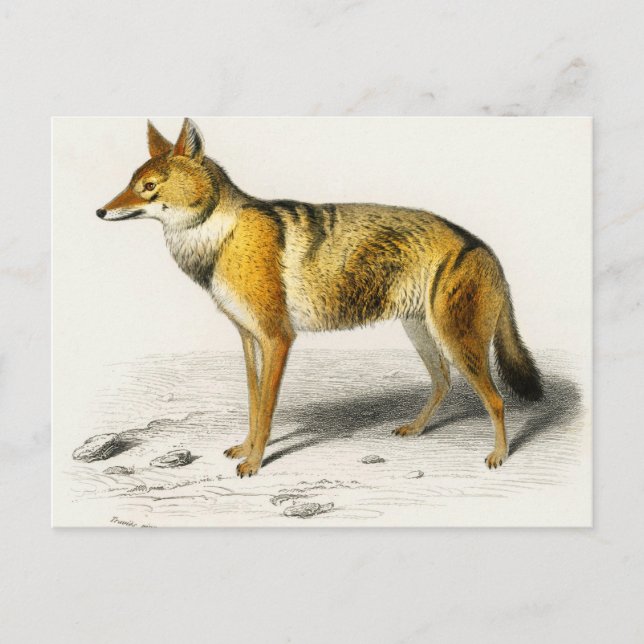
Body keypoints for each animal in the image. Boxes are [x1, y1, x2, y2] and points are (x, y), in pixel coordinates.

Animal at [97, 118, 543, 478]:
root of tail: (480, 246)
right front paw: (245, 448)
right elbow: (253, 405)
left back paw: (500, 455)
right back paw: (416, 429)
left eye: (149, 188)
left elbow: (267, 410)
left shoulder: (278, 339)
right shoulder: (249, 339)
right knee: (444, 383)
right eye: (129, 184)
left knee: (496, 400)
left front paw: (255, 463)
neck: (221, 238)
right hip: (422, 334)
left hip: (457, 342)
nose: (100, 212)